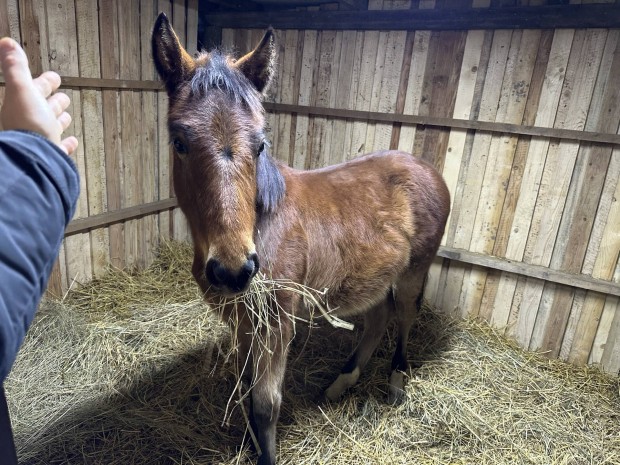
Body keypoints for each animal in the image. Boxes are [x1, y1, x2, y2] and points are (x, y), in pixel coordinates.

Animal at [152, 13, 448, 464]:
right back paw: (340, 384)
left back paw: (397, 382)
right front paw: (248, 444)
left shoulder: (276, 323)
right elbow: (244, 391)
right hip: (374, 277)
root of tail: (426, 167)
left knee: (405, 317)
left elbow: (265, 403)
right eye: (179, 141)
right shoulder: (241, 322)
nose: (234, 270)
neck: (262, 225)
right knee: (378, 319)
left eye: (260, 145)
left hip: (415, 271)